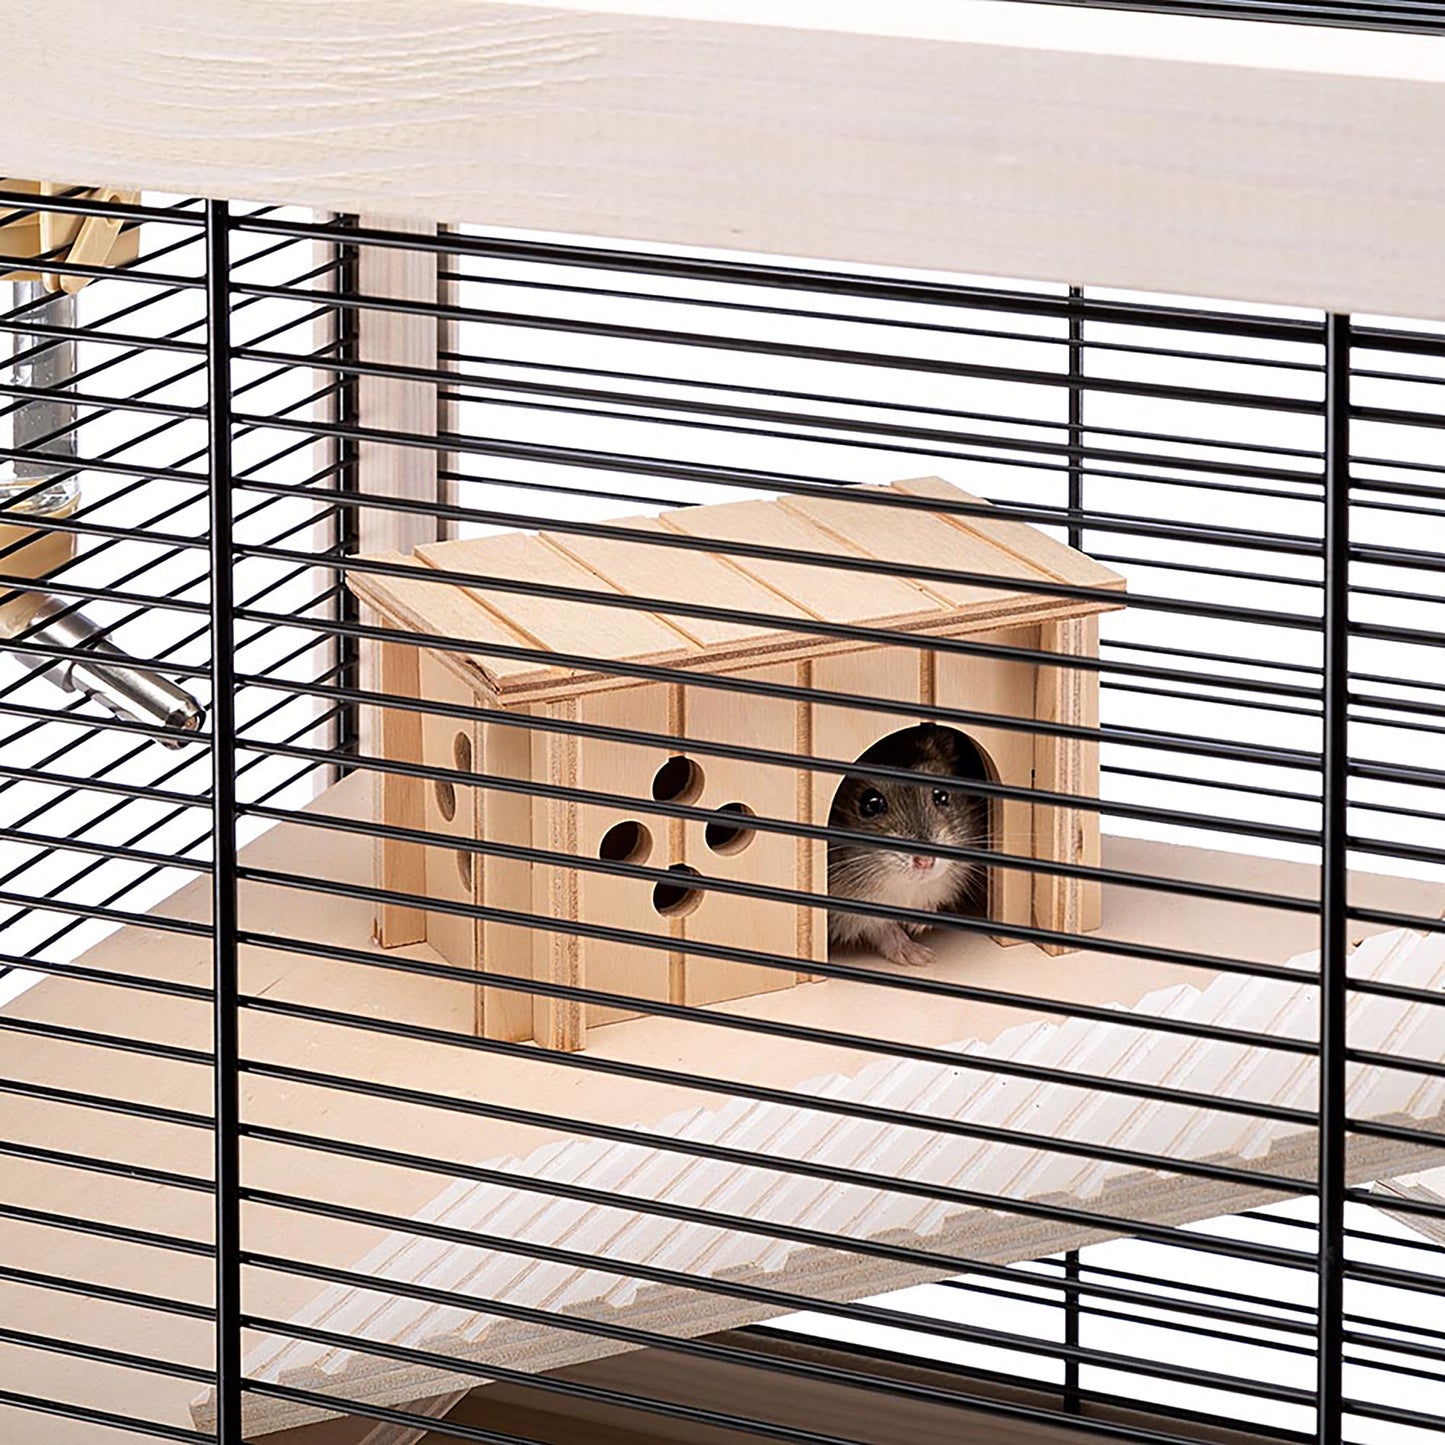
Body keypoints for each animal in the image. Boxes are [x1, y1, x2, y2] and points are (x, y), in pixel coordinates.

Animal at [826, 723, 986, 967]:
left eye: (942, 795)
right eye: (871, 804)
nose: (926, 861)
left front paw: (919, 923)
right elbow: (882, 928)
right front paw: (921, 957)